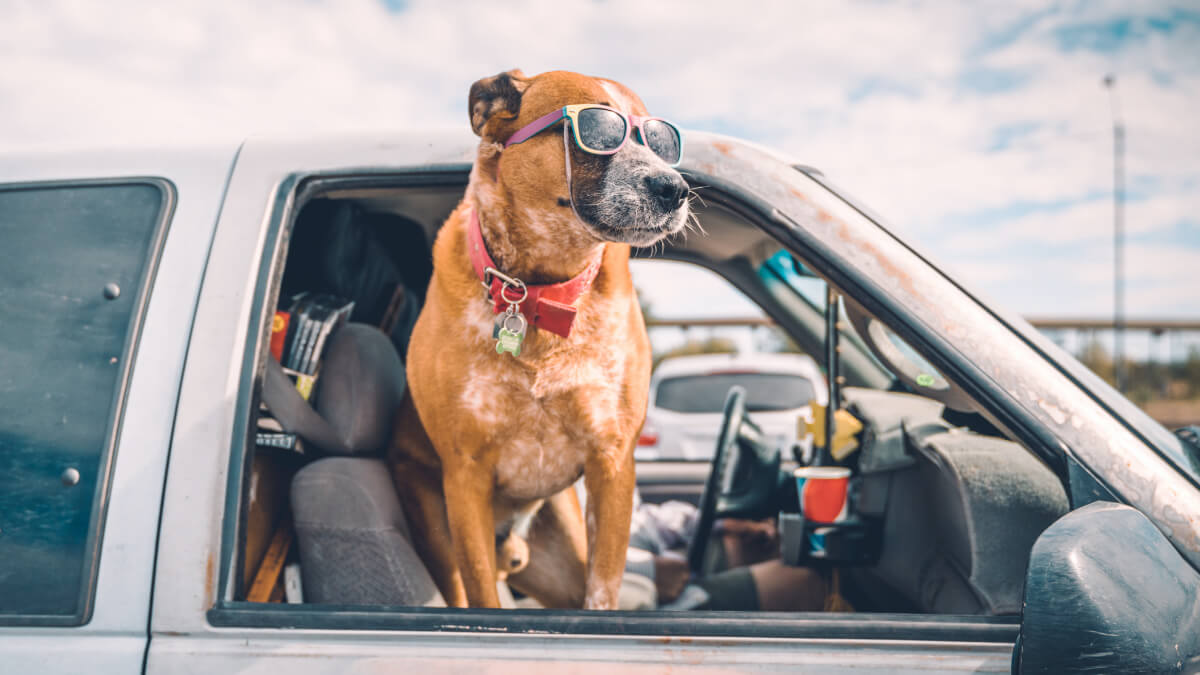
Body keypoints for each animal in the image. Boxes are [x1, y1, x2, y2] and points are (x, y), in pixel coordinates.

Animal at [384, 69, 686, 610]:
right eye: (599, 131)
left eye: (661, 142)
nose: (676, 188)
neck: (541, 293)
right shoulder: (465, 477)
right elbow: (484, 599)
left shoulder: (612, 464)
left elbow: (603, 593)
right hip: (436, 527)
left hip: (559, 553)